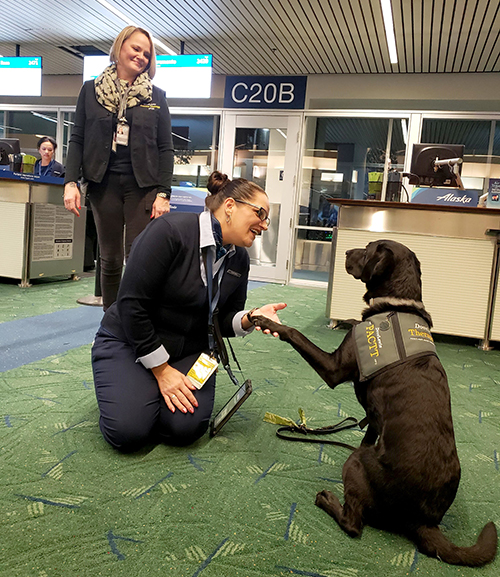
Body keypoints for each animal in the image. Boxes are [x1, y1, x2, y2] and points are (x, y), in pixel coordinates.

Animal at [254, 240, 496, 568]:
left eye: (368, 249)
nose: (343, 252)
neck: (396, 304)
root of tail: (423, 520)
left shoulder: (334, 369)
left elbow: (295, 333)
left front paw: (265, 320)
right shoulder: (373, 418)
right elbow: (369, 430)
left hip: (355, 464)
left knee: (354, 523)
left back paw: (328, 500)